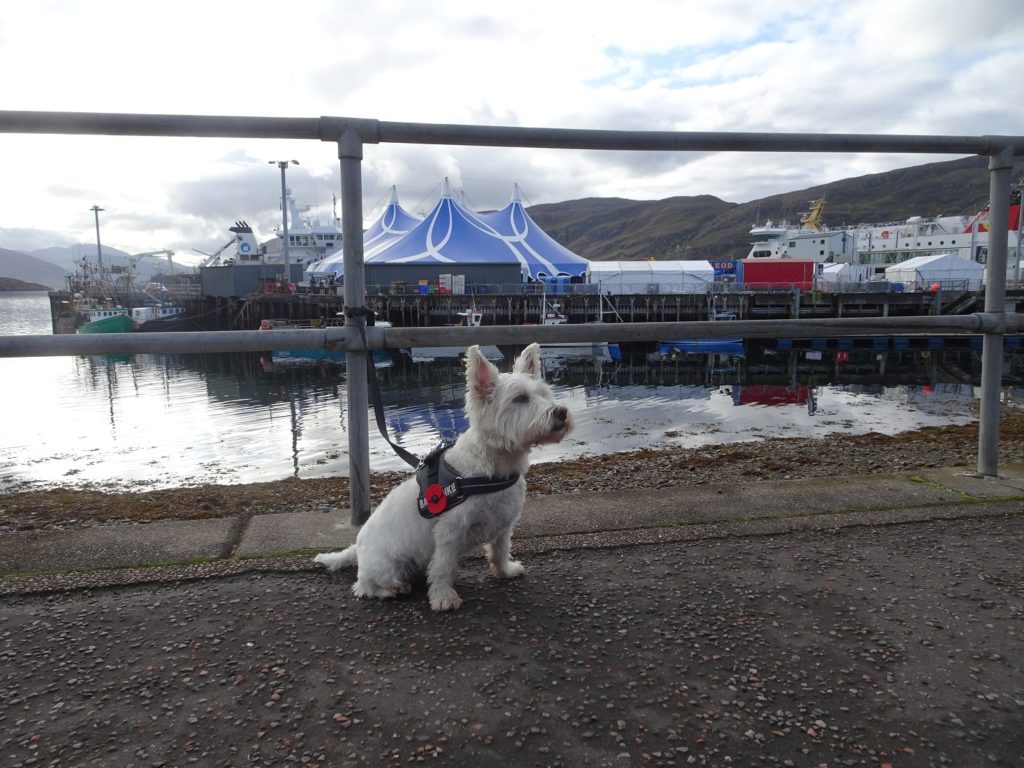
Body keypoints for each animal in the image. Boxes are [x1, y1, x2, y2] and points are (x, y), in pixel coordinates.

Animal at [313, 344, 569, 614]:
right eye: (520, 398)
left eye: (544, 393)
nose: (561, 412)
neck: (492, 468)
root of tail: (357, 547)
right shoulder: (449, 532)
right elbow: (443, 567)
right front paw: (444, 597)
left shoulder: (503, 524)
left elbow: (500, 550)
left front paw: (505, 571)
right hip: (386, 566)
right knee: (365, 586)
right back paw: (393, 589)